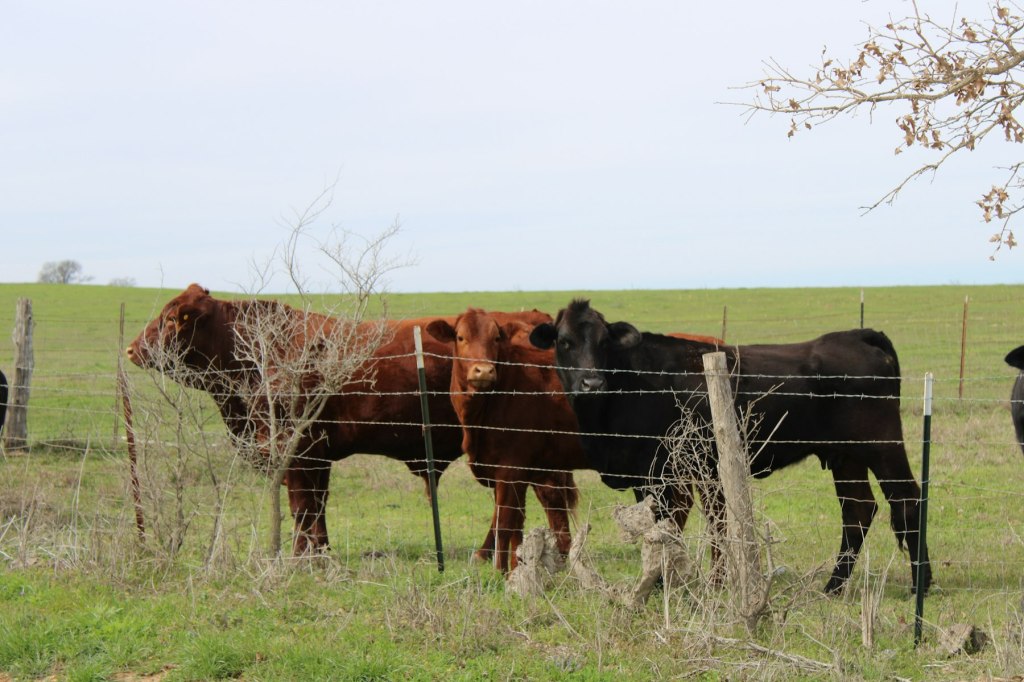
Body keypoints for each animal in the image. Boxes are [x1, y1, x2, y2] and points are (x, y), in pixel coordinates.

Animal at [125, 284, 557, 558]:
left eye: (171, 319)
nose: (130, 349)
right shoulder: (317, 456)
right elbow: (316, 506)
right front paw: (320, 552)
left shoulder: (298, 450)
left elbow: (302, 505)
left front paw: (301, 557)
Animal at [426, 308, 587, 572]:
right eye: (460, 337)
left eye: (497, 338)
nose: (483, 370)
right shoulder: (518, 472)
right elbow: (516, 524)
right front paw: (517, 565)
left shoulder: (511, 468)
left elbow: (505, 522)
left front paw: (500, 571)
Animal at [530, 299, 931, 595]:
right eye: (564, 342)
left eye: (604, 343)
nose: (592, 382)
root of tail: (857, 335)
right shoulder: (652, 478)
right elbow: (663, 529)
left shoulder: (672, 472)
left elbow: (698, 526)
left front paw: (698, 583)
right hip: (846, 456)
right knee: (858, 511)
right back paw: (832, 587)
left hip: (881, 445)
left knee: (907, 500)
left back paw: (921, 583)